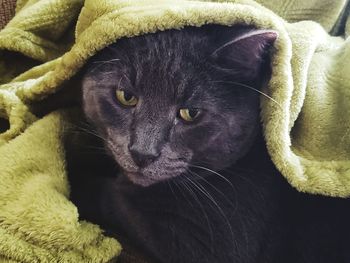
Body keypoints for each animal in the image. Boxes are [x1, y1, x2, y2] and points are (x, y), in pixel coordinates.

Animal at [67, 24, 350, 263]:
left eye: (190, 113)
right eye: (125, 96)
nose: (142, 153)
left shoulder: (211, 242)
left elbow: (115, 201)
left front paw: (74, 172)